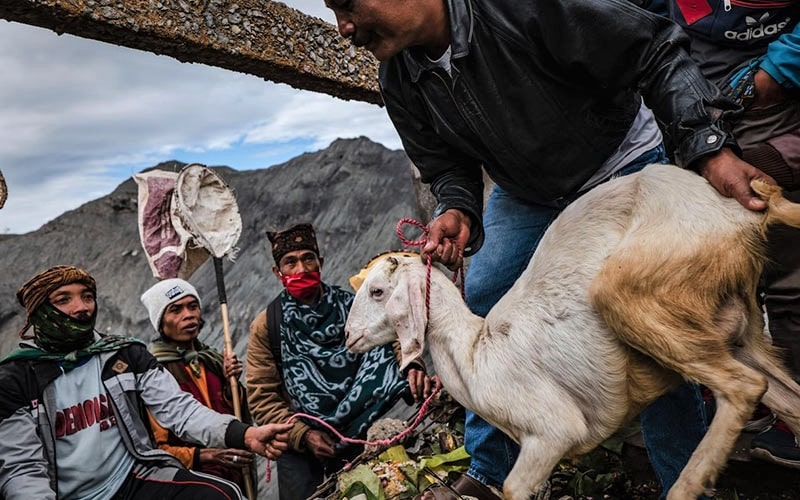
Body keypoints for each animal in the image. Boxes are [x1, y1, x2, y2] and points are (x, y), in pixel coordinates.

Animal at [346, 165, 800, 500]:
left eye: (377, 290)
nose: (348, 338)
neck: (475, 351)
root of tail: (743, 211)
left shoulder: (554, 430)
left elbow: (512, 487)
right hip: (733, 327)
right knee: (784, 397)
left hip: (642, 290)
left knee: (742, 388)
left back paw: (686, 486)